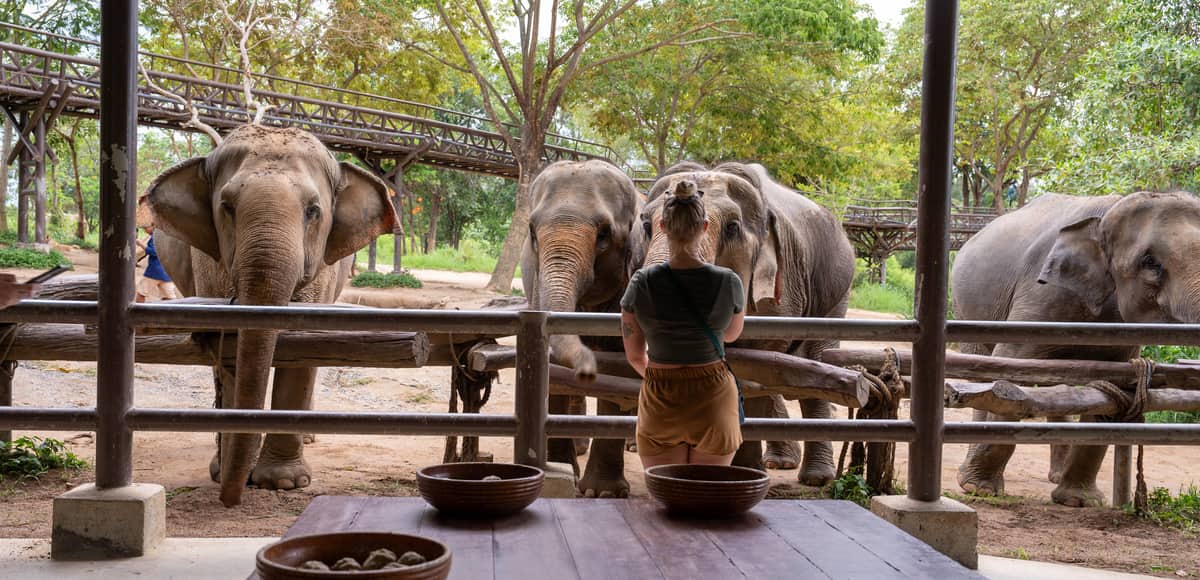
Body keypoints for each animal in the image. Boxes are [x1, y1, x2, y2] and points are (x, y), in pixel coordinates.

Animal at [146, 125, 397, 507]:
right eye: (226, 207)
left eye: (313, 211)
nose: (229, 500)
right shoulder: (209, 265)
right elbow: (231, 353)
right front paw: (225, 470)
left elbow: (305, 350)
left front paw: (282, 482)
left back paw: (307, 438)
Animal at [519, 159, 645, 497]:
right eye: (532, 230)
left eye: (604, 234)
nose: (587, 371)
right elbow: (555, 373)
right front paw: (564, 471)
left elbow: (618, 369)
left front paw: (602, 493)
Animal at [638, 161, 856, 484]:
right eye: (645, 225)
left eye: (732, 228)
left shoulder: (780, 293)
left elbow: (756, 359)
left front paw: (741, 473)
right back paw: (780, 463)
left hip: (834, 295)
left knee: (813, 363)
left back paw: (816, 478)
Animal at [951, 191, 1200, 507]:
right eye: (1150, 262)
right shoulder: (1041, 293)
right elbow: (1008, 364)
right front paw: (979, 490)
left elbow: (1113, 386)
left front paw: (1079, 501)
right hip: (967, 308)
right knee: (983, 369)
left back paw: (1056, 476)